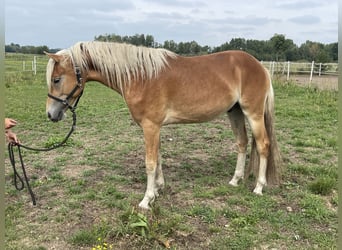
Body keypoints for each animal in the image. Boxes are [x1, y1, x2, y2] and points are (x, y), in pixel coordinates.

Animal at [44, 41, 280, 209]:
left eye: (56, 79)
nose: (51, 114)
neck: (141, 76)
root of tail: (259, 66)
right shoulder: (154, 128)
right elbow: (157, 158)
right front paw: (158, 189)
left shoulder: (150, 126)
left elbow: (150, 162)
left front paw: (146, 200)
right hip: (235, 112)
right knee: (242, 143)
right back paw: (235, 180)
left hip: (253, 114)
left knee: (263, 145)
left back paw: (259, 187)